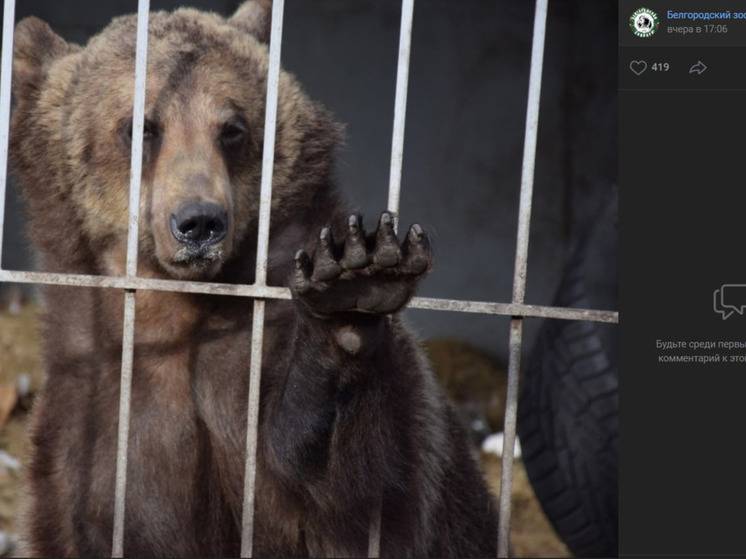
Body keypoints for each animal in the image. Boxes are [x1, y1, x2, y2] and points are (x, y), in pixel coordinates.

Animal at [8, 2, 496, 556]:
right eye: (141, 126)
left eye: (232, 128)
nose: (200, 221)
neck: (178, 309)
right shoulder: (92, 416)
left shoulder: (257, 372)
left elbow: (356, 490)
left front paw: (353, 296)